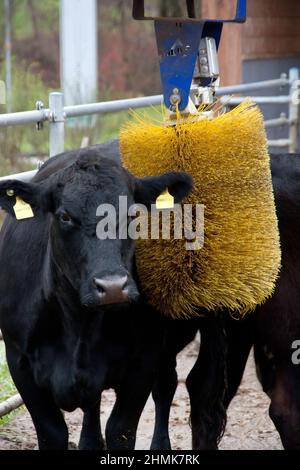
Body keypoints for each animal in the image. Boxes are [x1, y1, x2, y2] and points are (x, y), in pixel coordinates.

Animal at [0, 141, 192, 450]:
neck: (79, 323)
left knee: (166, 386)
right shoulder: (20, 361)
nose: (112, 286)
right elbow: (53, 433)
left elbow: (120, 430)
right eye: (65, 216)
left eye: (132, 214)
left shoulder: (143, 360)